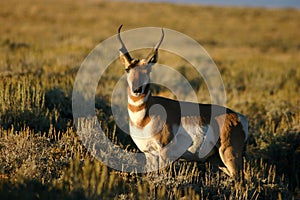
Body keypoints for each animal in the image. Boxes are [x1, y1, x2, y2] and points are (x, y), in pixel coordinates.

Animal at [117, 25, 248, 177]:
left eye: (148, 70)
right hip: (218, 160)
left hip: (229, 155)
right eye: (127, 69)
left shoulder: (164, 153)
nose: (137, 89)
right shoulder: (149, 154)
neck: (144, 118)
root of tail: (239, 117)